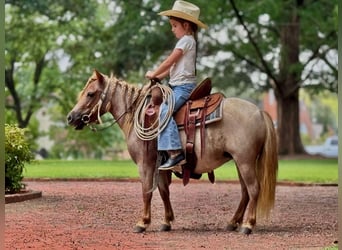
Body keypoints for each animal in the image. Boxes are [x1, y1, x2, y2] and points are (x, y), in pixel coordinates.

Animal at [67, 70, 278, 234]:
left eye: (90, 94)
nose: (71, 117)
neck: (136, 114)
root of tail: (260, 112)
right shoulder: (160, 165)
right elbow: (163, 192)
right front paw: (166, 221)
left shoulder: (145, 164)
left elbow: (146, 192)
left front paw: (142, 222)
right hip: (239, 161)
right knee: (245, 192)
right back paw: (233, 222)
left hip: (245, 161)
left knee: (253, 189)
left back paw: (248, 225)